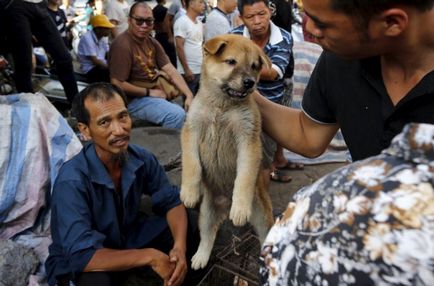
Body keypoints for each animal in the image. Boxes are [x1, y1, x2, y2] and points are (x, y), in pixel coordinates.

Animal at [180, 34, 274, 270]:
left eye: (254, 66)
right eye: (231, 62)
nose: (250, 82)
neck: (222, 107)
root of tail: (224, 207)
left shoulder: (248, 139)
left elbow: (244, 177)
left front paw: (240, 207)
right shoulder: (191, 130)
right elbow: (192, 165)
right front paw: (189, 193)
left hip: (261, 214)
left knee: (264, 237)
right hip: (206, 214)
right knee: (207, 236)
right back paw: (200, 257)